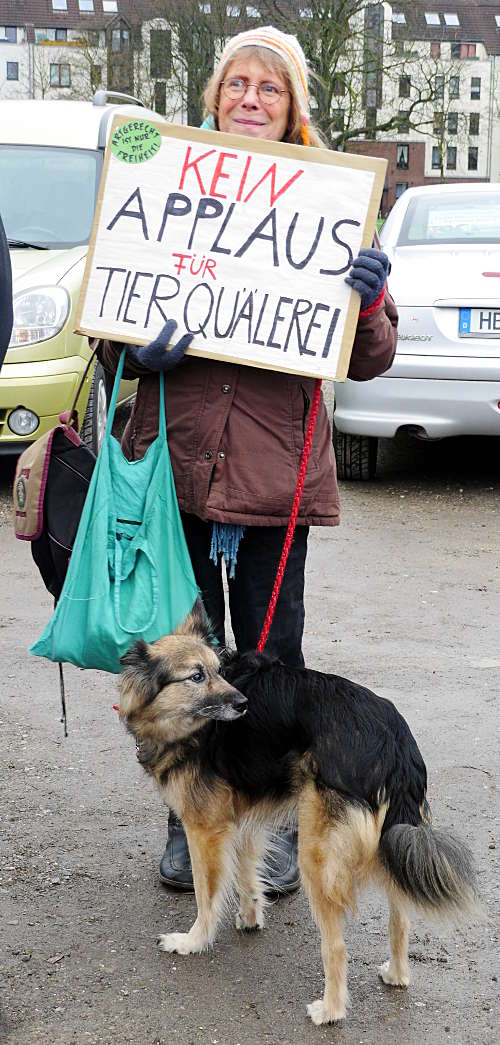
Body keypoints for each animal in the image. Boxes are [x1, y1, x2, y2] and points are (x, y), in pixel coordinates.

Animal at [117, 601, 476, 1024]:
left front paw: (192, 940)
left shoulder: (205, 829)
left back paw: (331, 1010)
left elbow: (207, 895)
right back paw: (397, 974)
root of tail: (394, 740)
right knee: (400, 913)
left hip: (317, 855)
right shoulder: (242, 818)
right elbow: (247, 874)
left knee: (336, 946)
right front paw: (250, 916)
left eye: (216, 671)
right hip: (394, 838)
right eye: (197, 676)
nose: (243, 704)